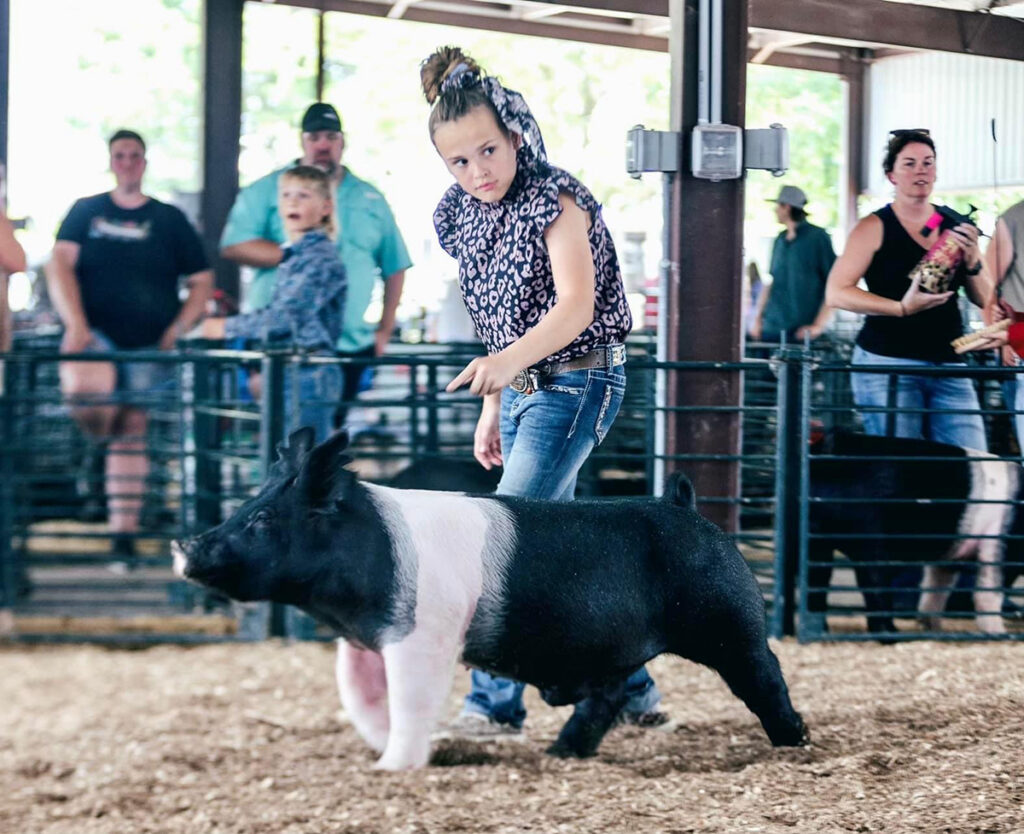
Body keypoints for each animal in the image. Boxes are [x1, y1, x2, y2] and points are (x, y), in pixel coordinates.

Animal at [173, 427, 807, 770]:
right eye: (244, 507)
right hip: (618, 646)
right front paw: (383, 748)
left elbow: (411, 699)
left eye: (261, 521)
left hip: (729, 620)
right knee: (606, 695)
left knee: (765, 675)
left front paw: (394, 765)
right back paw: (562, 754)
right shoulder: (365, 637)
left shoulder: (425, 636)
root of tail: (684, 505)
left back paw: (795, 743)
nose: (186, 545)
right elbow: (362, 697)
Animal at [808, 430, 1022, 636]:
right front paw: (998, 633)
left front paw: (931, 628)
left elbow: (935, 590)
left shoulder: (948, 557)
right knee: (873, 580)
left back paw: (821, 630)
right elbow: (990, 588)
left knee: (818, 582)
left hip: (818, 541)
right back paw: (892, 634)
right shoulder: (1002, 544)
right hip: (870, 536)